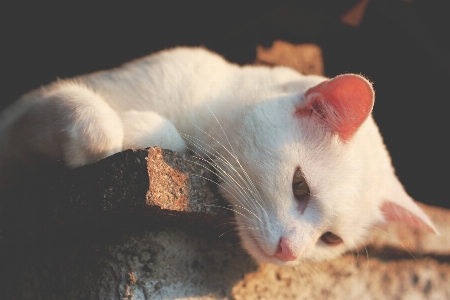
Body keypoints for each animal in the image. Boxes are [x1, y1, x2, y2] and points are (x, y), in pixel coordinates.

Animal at [0, 47, 436, 264]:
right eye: (299, 187)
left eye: (331, 239)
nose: (290, 254)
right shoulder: (18, 115)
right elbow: (93, 121)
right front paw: (118, 129)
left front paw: (140, 125)